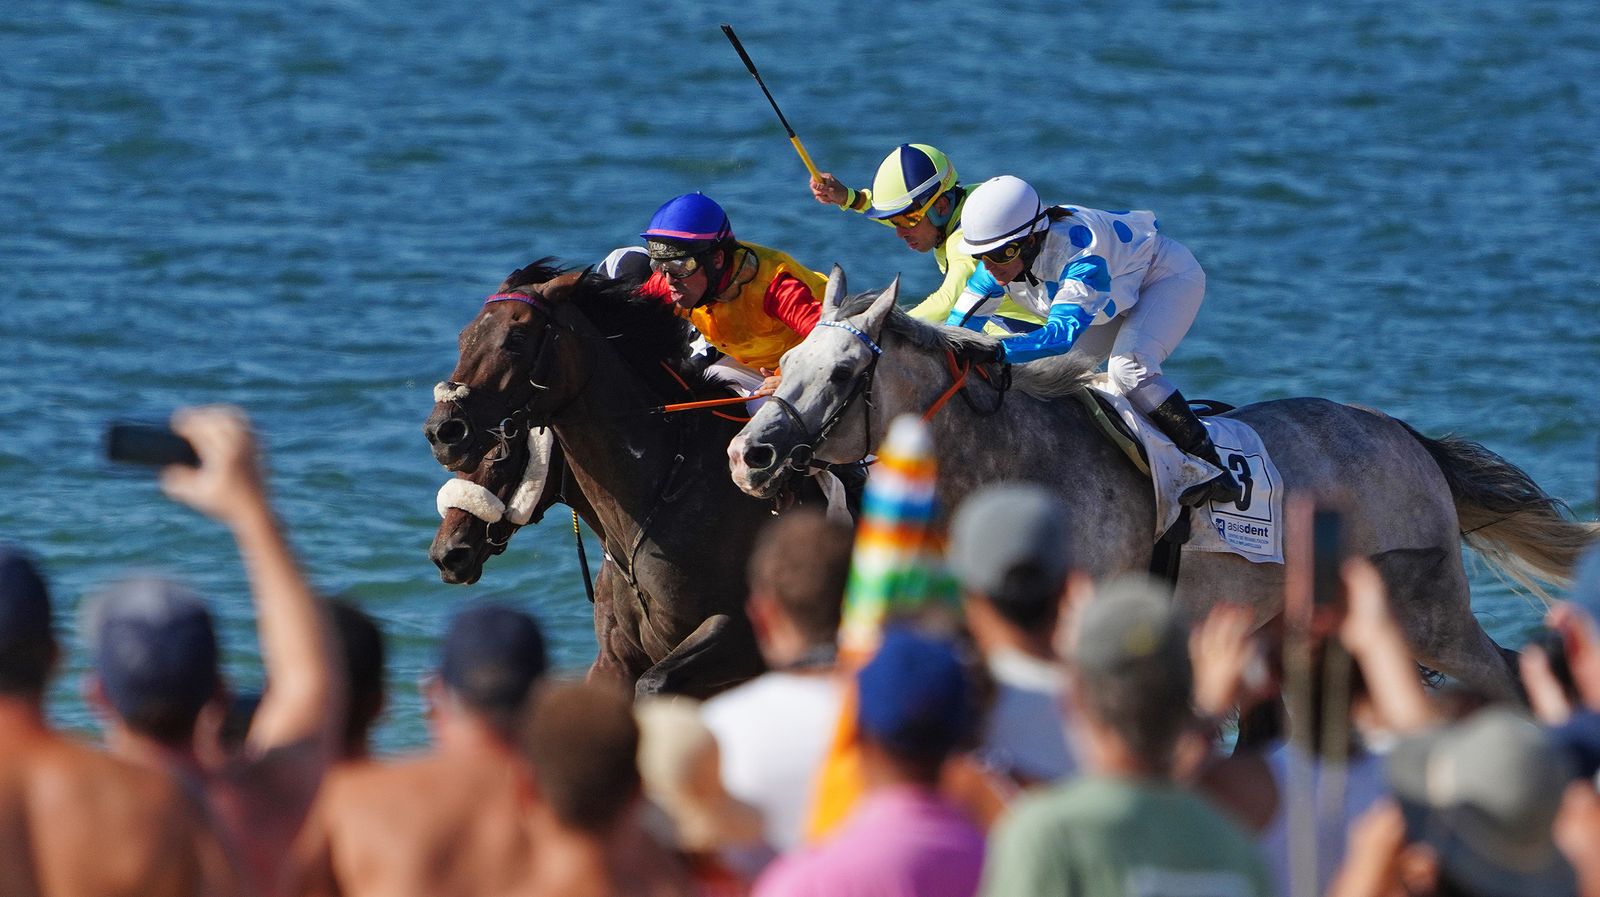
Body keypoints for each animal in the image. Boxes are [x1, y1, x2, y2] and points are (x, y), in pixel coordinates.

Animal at [423, 260, 782, 697]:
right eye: (464, 337)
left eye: (516, 337)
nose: (443, 432)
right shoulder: (614, 657)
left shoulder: (743, 633)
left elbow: (654, 682)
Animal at [727, 268, 1597, 698]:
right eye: (787, 360)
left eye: (844, 372)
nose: (749, 454)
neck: (1014, 466)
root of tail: (1409, 439)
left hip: (1431, 615)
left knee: (1505, 676)